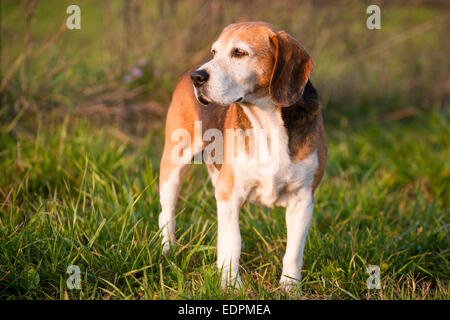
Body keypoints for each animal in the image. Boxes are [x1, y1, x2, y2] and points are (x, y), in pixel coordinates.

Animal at [158, 20, 326, 290]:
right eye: (214, 52)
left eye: (239, 52)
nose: (198, 77)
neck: (267, 121)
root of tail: (187, 71)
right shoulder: (230, 194)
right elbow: (233, 243)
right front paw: (230, 285)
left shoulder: (303, 200)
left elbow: (293, 251)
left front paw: (290, 288)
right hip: (173, 168)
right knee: (167, 214)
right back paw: (167, 251)